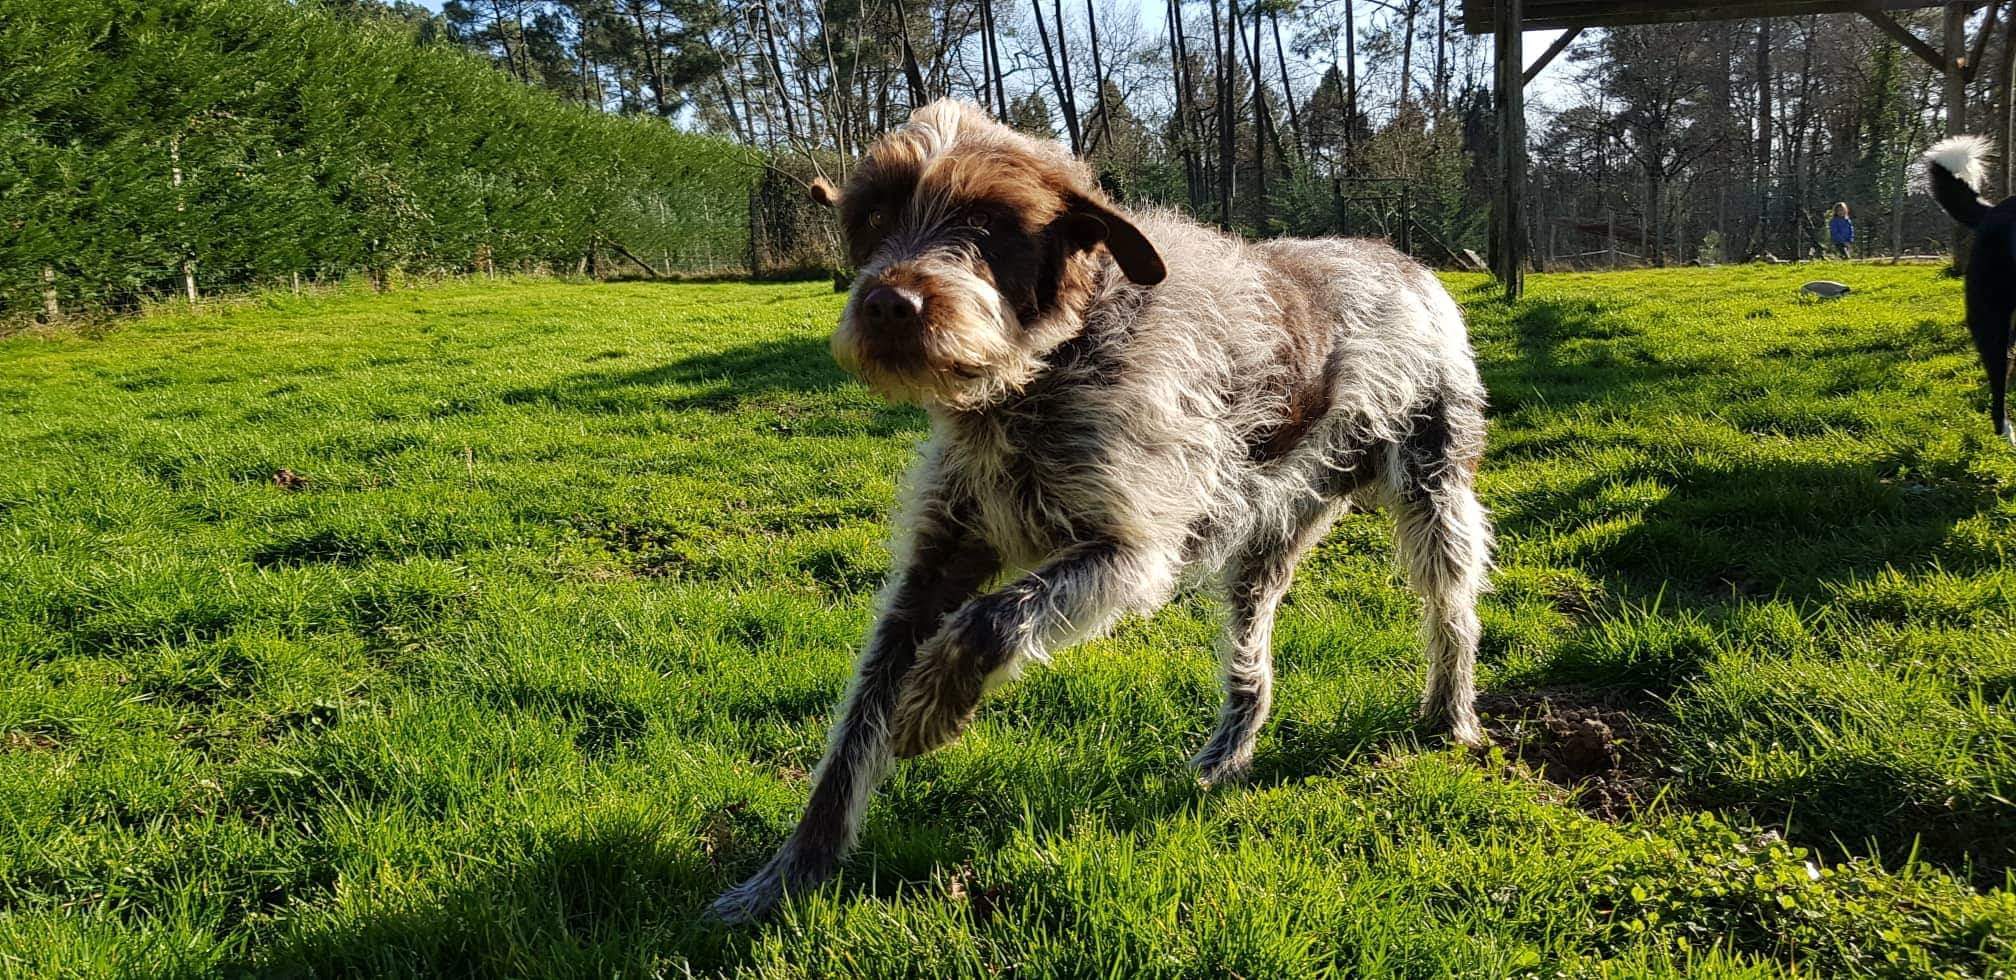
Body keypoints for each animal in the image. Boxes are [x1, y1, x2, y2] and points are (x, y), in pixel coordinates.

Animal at [709, 100, 1493, 923]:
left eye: (988, 227)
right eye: (875, 215)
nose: (891, 304)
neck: (1037, 379)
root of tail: (1404, 260)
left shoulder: (1132, 552)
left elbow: (992, 619)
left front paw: (929, 708)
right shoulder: (933, 568)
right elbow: (856, 727)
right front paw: (788, 875)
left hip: (1434, 490)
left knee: (1453, 611)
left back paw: (1451, 714)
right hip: (1265, 538)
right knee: (1252, 661)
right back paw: (1228, 754)